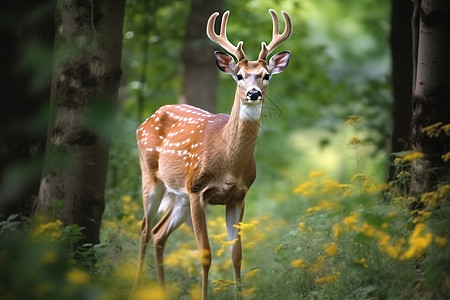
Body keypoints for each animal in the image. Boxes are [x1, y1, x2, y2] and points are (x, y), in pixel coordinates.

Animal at [134, 8, 292, 298]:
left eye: (266, 75)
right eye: (239, 75)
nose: (254, 93)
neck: (228, 164)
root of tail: (151, 116)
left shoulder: (239, 196)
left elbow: (236, 254)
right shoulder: (198, 190)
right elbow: (205, 253)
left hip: (179, 195)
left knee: (159, 233)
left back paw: (160, 289)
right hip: (151, 176)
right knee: (143, 228)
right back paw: (135, 285)